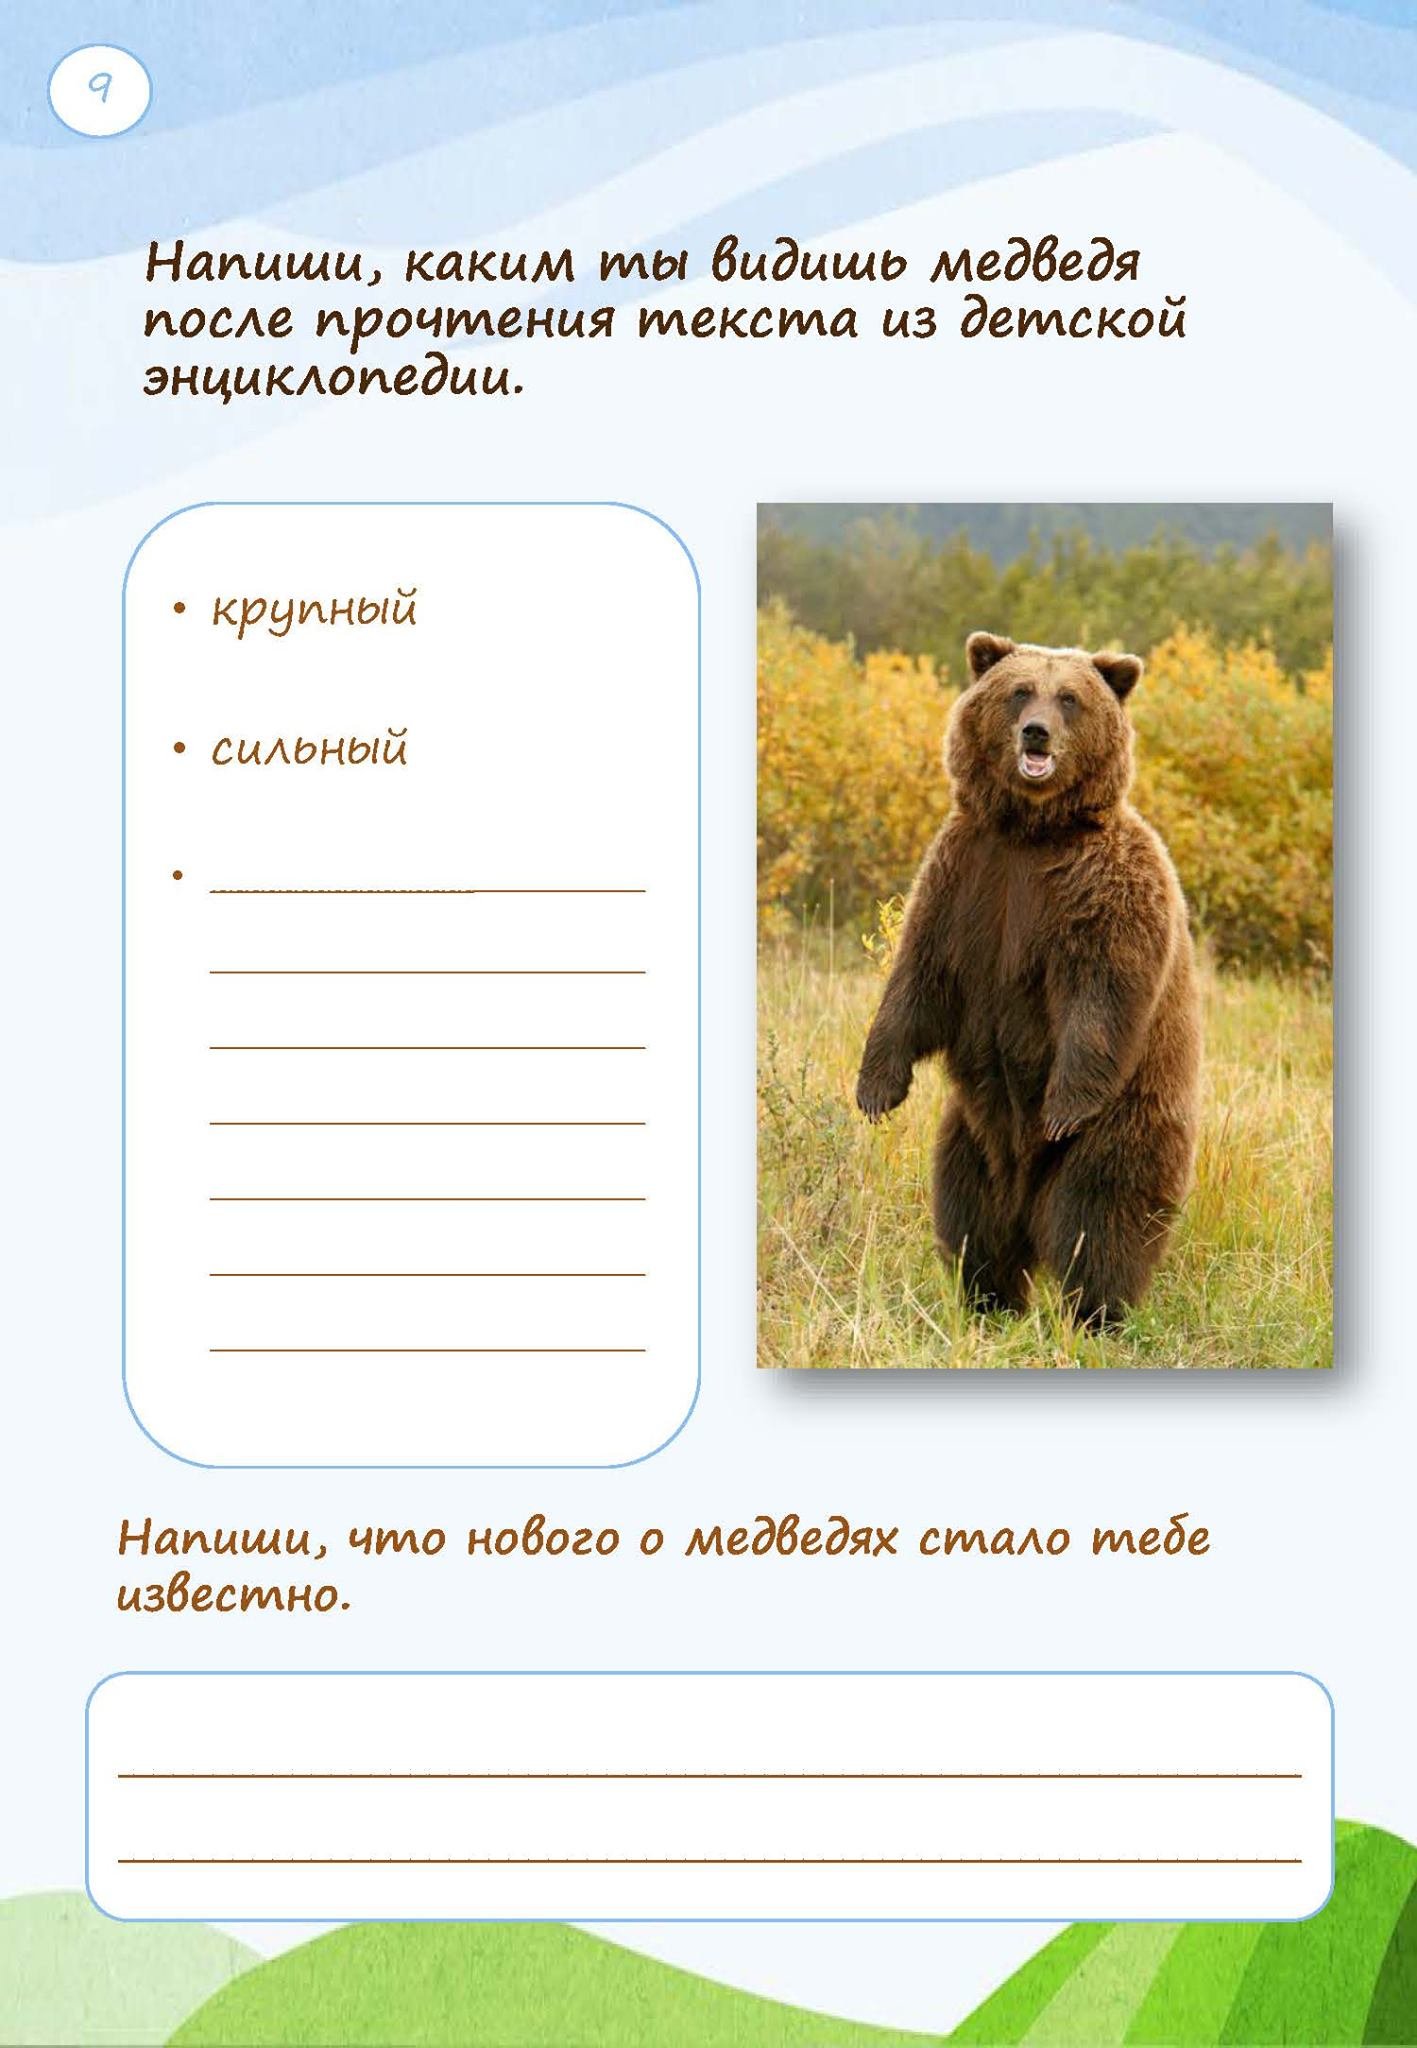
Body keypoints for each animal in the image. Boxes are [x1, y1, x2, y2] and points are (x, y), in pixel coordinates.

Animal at [854, 630, 1201, 1327]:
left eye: (1069, 698)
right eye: (1019, 691)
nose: (1036, 733)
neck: (1031, 832)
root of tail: (1025, 1203)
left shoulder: (1103, 891)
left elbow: (1102, 991)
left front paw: (1063, 1107)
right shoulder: (964, 880)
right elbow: (916, 980)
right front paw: (875, 1090)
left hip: (1126, 1123)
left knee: (1100, 1219)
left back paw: (1095, 1314)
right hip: (970, 1136)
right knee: (969, 1218)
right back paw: (988, 1301)